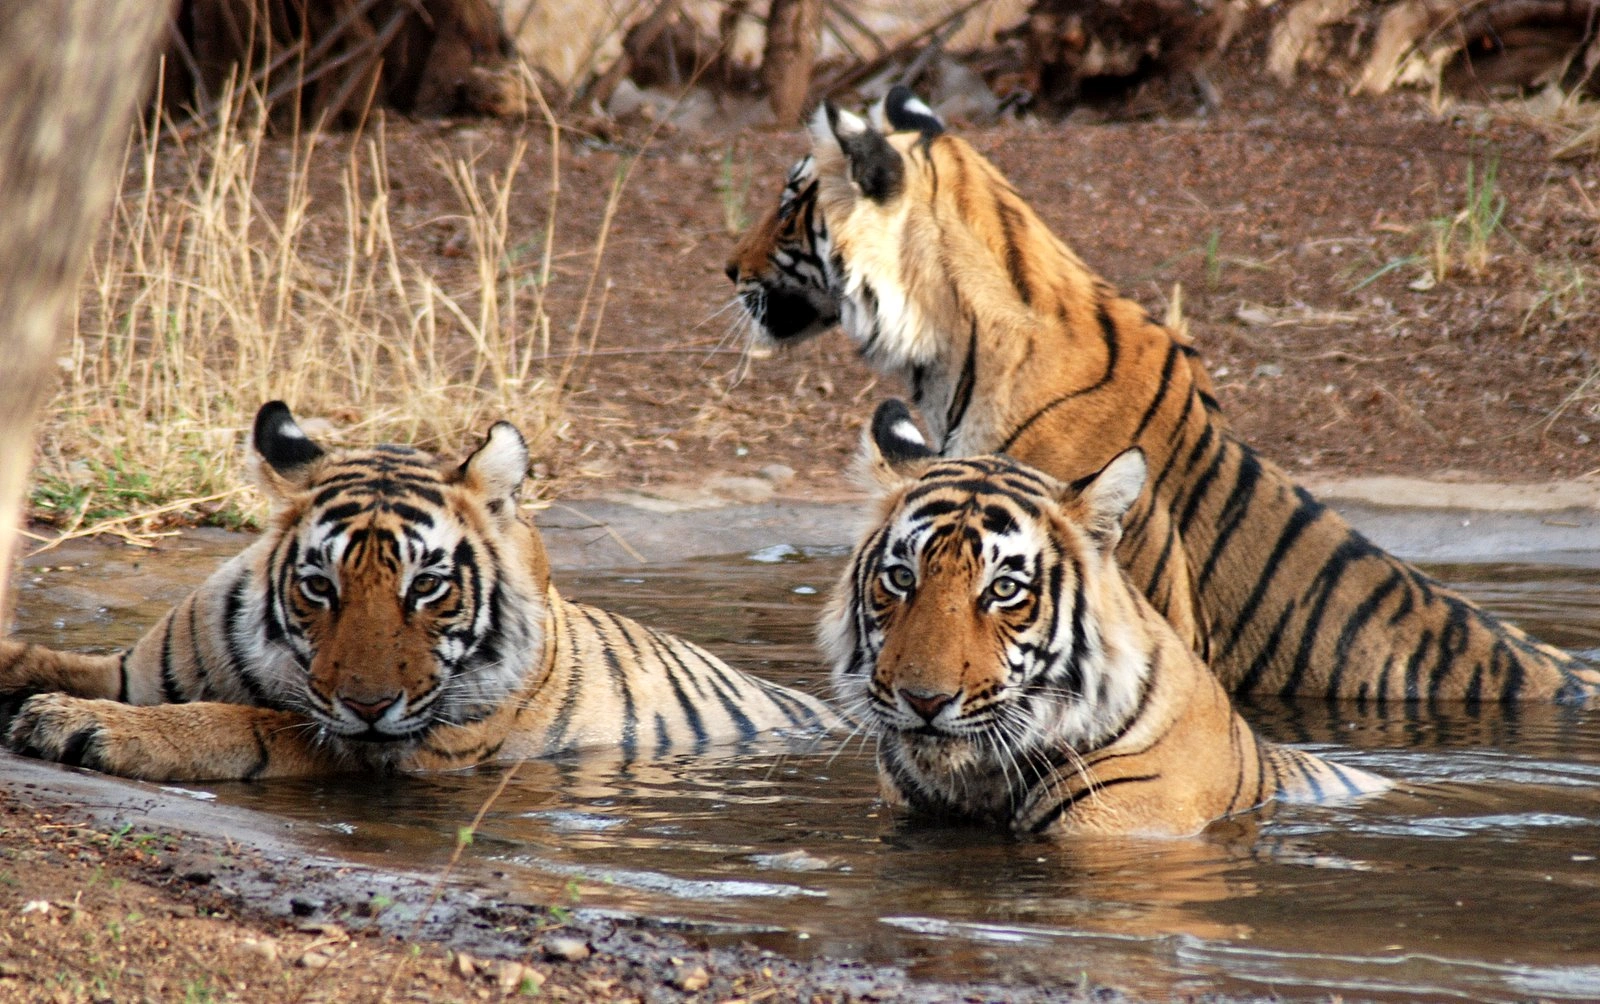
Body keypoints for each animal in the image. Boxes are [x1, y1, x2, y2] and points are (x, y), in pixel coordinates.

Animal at [0, 401, 844, 783]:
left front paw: (79, 725)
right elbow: (42, 658)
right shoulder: (130, 670)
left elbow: (242, 722)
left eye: (428, 587)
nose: (369, 704)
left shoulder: (389, 747)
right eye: (320, 586)